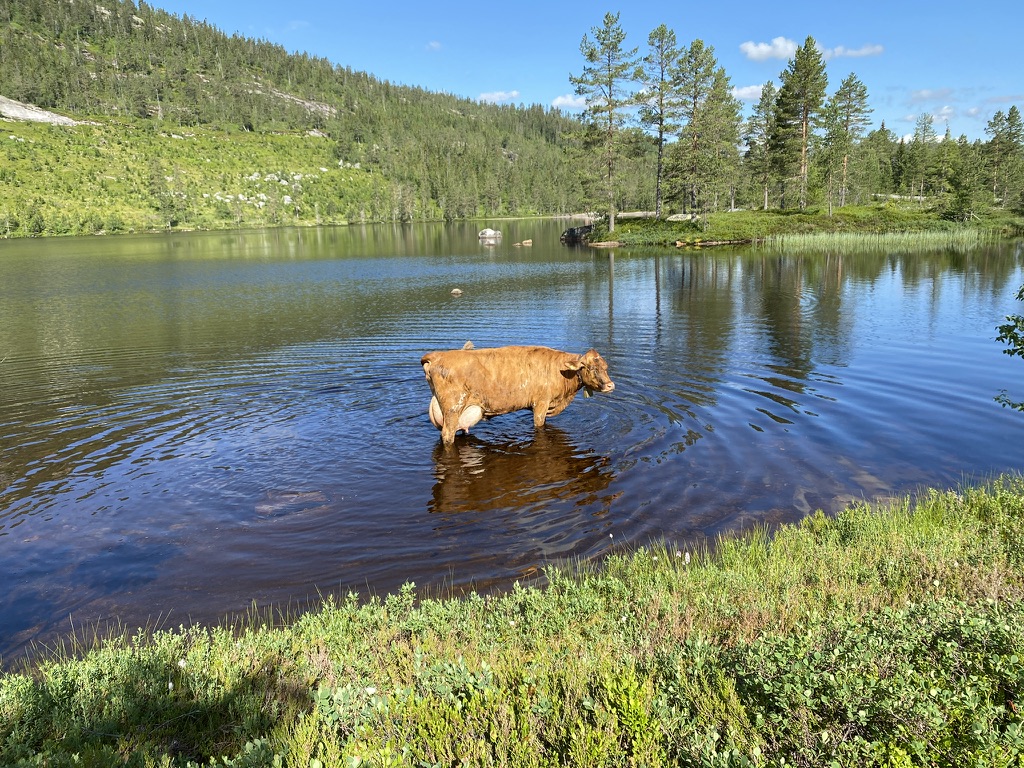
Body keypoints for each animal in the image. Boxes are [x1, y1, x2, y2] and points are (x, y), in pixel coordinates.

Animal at [417, 342, 610, 444]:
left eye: (606, 367)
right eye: (591, 368)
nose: (610, 385)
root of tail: (437, 355)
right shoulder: (541, 403)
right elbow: (539, 425)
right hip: (453, 408)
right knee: (447, 435)